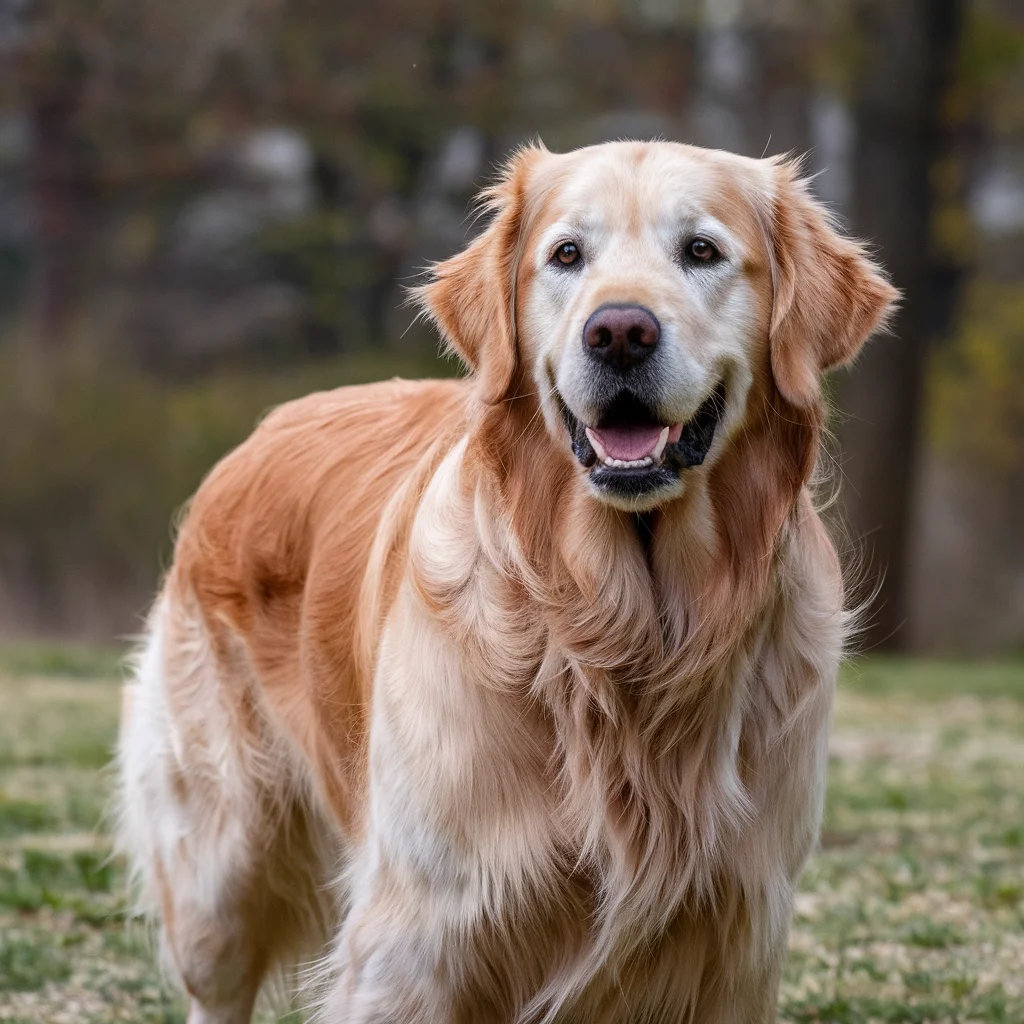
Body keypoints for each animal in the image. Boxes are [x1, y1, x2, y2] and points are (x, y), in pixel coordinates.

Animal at [114, 138, 897, 1024]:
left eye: (702, 251)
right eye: (567, 255)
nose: (619, 332)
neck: (618, 628)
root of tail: (261, 428)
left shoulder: (735, 938)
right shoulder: (415, 937)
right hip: (218, 865)